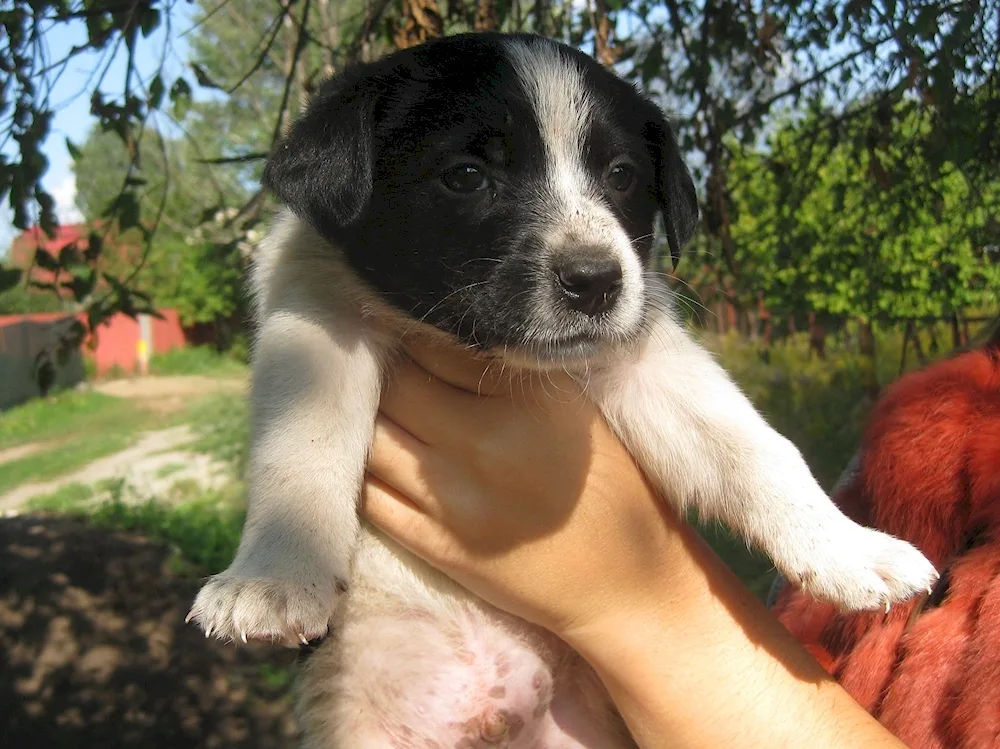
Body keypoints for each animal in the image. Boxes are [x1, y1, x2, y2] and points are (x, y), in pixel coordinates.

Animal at [188, 33, 936, 748]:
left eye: (621, 175)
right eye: (467, 176)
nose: (596, 281)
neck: (488, 356)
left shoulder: (647, 363)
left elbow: (757, 450)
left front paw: (847, 547)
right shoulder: (313, 330)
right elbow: (301, 451)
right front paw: (274, 577)